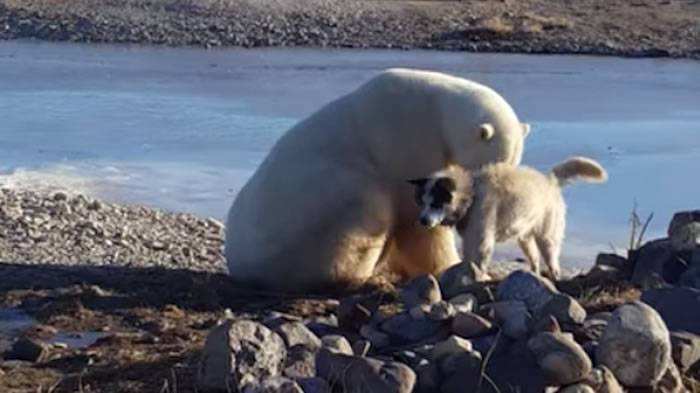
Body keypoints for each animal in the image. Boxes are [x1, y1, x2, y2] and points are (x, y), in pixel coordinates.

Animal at [227, 68, 528, 290]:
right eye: (493, 162)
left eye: (513, 162)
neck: (437, 108)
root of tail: (239, 265)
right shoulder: (409, 139)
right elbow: (417, 219)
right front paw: (450, 268)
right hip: (312, 216)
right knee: (365, 210)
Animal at [410, 157, 608, 278]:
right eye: (422, 203)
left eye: (436, 203)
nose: (422, 221)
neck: (472, 195)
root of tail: (549, 181)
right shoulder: (469, 239)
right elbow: (468, 261)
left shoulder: (482, 242)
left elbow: (478, 263)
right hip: (525, 239)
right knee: (535, 262)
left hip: (547, 240)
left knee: (553, 265)